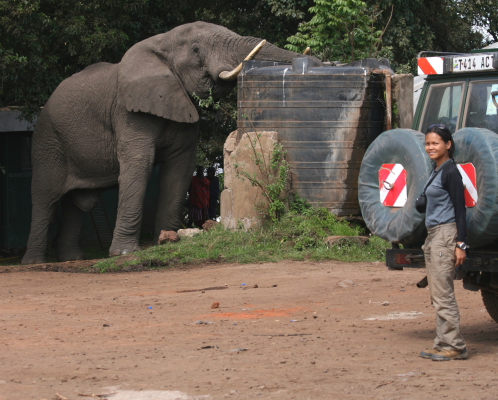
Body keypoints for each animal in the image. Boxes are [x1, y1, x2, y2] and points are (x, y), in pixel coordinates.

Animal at [22, 20, 320, 264]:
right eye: (197, 50)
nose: (313, 60)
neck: (161, 42)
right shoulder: (128, 112)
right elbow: (139, 164)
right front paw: (125, 253)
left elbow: (181, 166)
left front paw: (164, 242)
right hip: (47, 139)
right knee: (45, 197)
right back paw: (35, 262)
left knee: (75, 203)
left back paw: (72, 259)